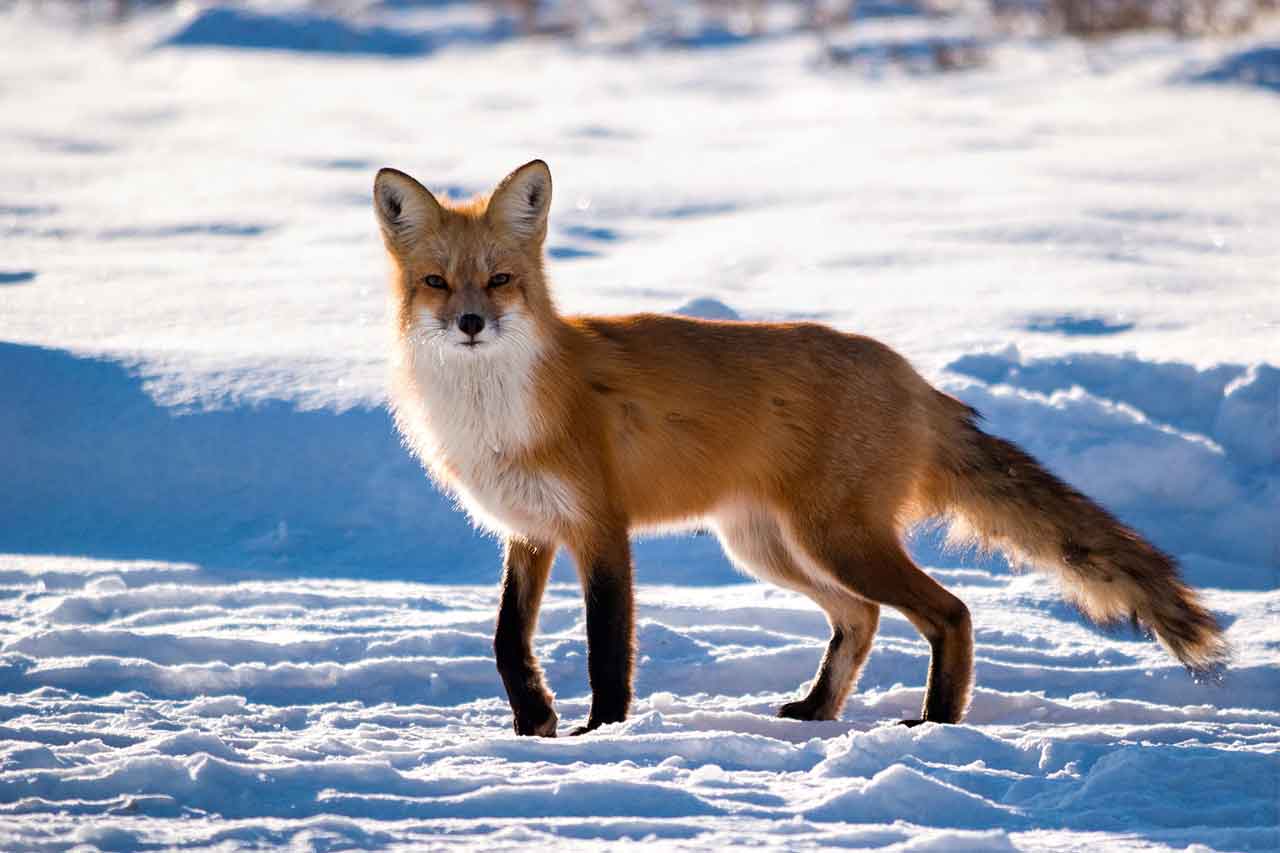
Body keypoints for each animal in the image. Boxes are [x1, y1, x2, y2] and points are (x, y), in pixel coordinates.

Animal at [373, 162, 1228, 732]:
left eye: (501, 279)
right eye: (437, 282)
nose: (470, 324)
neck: (495, 409)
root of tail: (914, 377)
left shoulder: (599, 528)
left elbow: (607, 648)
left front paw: (601, 733)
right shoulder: (529, 532)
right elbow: (505, 640)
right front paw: (534, 723)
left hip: (834, 539)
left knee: (949, 611)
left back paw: (937, 721)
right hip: (771, 547)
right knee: (861, 617)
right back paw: (818, 708)